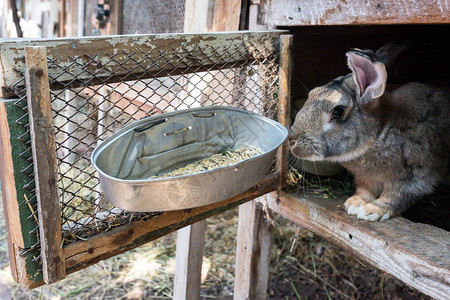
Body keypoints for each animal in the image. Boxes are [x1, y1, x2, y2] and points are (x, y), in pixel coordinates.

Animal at [290, 42, 448, 220]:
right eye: (311, 93)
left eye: (337, 113)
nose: (292, 140)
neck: (378, 134)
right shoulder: (365, 178)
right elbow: (364, 189)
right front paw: (354, 203)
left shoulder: (416, 177)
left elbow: (396, 196)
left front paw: (372, 211)